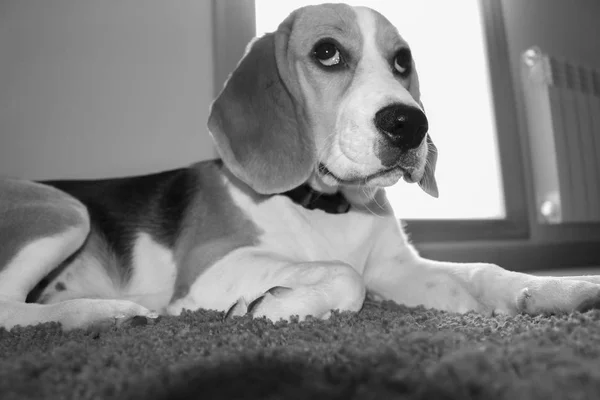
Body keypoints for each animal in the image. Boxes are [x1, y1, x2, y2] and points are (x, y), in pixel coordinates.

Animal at [1, 3, 600, 332]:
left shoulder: (399, 269)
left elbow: (484, 271)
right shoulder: (212, 269)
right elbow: (345, 275)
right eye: (327, 52)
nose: (411, 125)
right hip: (64, 208)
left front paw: (562, 289)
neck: (329, 208)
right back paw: (100, 313)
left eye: (402, 61)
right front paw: (274, 307)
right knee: (8, 309)